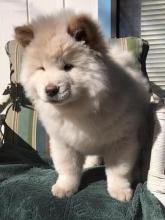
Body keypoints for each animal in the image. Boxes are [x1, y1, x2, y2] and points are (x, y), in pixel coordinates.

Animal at [14, 10, 150, 203]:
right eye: (41, 69)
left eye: (68, 67)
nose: (51, 89)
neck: (79, 108)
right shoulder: (63, 141)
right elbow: (68, 169)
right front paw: (65, 188)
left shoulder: (121, 140)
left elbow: (118, 171)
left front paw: (120, 191)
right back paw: (90, 163)